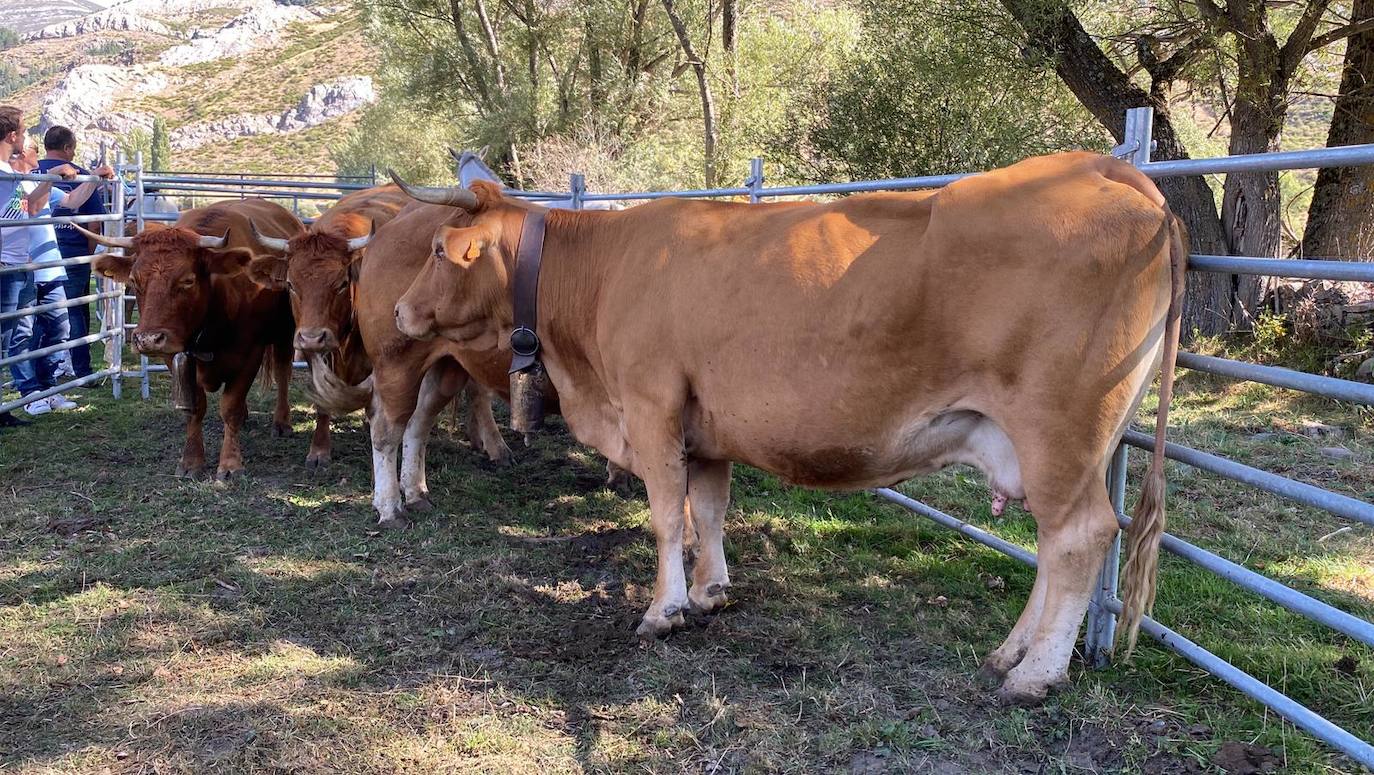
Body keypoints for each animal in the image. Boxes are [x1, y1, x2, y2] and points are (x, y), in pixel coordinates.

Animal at [79, 197, 302, 478]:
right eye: (134, 280)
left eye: (187, 280)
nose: (148, 339)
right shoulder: (174, 354)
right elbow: (196, 408)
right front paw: (191, 461)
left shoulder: (252, 350)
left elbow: (230, 407)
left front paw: (230, 464)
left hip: (285, 331)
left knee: (283, 371)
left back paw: (281, 422)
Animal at [392, 153, 1187, 709]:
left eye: (435, 250)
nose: (398, 311)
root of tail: (1105, 166)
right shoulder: (705, 425)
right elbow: (708, 509)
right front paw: (710, 591)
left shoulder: (650, 406)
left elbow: (665, 515)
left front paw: (663, 609)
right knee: (1054, 548)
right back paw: (1012, 653)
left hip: (1059, 431)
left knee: (1080, 535)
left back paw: (1036, 673)